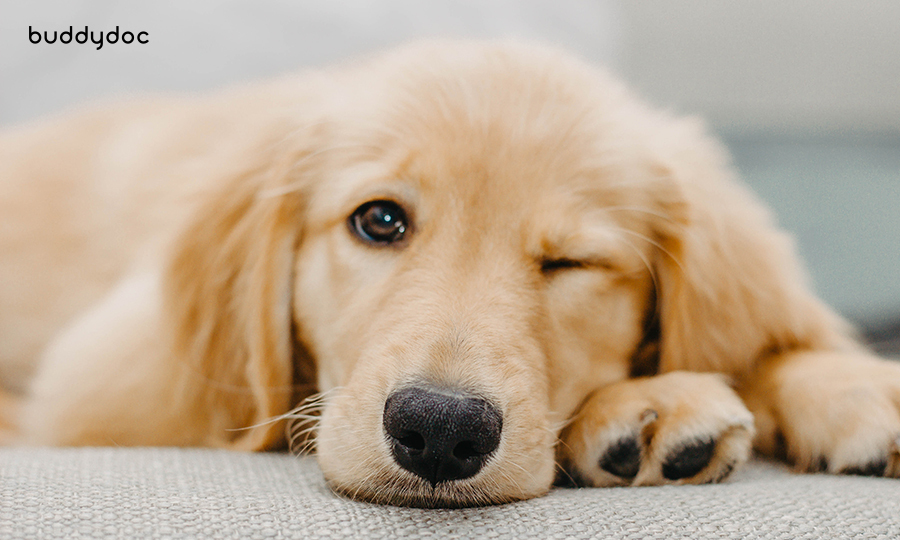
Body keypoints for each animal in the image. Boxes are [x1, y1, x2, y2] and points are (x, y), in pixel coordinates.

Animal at [1, 39, 900, 506]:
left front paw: (852, 384)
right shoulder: (104, 389)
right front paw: (648, 401)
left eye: (571, 262)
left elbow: (773, 344)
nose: (438, 429)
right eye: (380, 220)